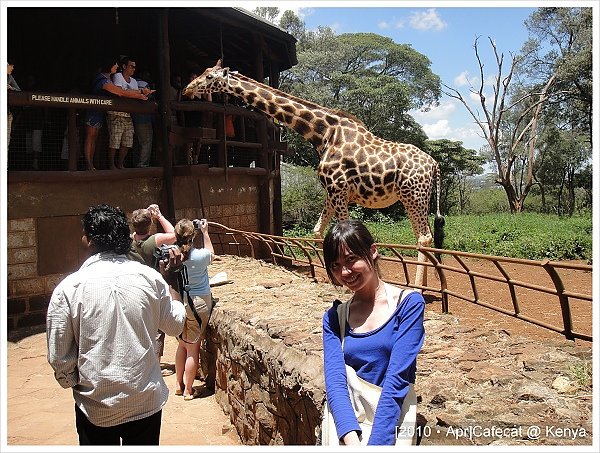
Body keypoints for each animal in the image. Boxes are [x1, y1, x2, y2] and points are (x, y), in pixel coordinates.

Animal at [184, 60, 446, 286]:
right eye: (203, 71)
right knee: (425, 237)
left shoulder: (339, 189)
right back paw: (429, 287)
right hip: (416, 198)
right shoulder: (332, 192)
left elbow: (343, 233)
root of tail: (434, 164)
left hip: (413, 196)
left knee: (423, 237)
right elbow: (317, 231)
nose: (188, 88)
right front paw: (331, 278)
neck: (323, 134)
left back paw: (417, 287)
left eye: (209, 76)